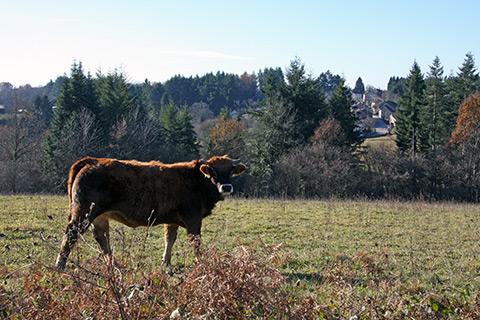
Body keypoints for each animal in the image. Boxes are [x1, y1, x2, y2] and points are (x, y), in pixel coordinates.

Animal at [54, 155, 246, 270]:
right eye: (213, 171)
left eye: (230, 170)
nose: (226, 187)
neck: (196, 180)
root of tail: (92, 160)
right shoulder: (193, 218)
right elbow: (196, 241)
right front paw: (202, 262)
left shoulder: (173, 219)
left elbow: (170, 239)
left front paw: (166, 263)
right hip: (84, 213)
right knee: (71, 234)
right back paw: (60, 265)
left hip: (99, 216)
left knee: (102, 237)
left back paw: (115, 264)